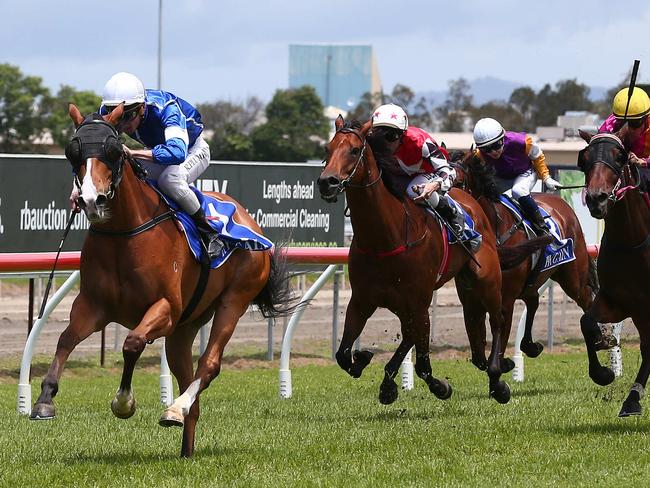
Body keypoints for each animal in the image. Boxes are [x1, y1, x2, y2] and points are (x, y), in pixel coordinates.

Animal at [30, 103, 294, 458]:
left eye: (114, 151)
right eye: (73, 151)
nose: (90, 200)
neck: (125, 234)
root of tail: (250, 221)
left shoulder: (165, 308)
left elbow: (132, 343)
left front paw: (124, 402)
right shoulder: (92, 307)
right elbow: (65, 340)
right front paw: (44, 400)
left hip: (233, 301)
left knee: (209, 364)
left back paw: (175, 407)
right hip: (186, 326)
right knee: (189, 381)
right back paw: (185, 444)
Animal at [316, 117, 508, 404]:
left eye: (353, 150)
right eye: (327, 149)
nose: (326, 182)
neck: (385, 238)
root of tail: (471, 201)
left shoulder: (419, 303)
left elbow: (424, 365)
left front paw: (441, 387)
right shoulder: (362, 300)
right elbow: (343, 356)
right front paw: (365, 361)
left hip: (486, 280)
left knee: (497, 321)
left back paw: (497, 379)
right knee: (410, 335)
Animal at [448, 152, 596, 362]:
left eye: (458, 181)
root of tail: (563, 206)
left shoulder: (506, 300)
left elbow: (499, 339)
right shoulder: (470, 299)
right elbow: (478, 347)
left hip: (573, 278)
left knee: (586, 299)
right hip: (534, 280)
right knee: (533, 300)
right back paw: (530, 345)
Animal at [576, 130, 648, 416]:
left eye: (619, 157)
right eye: (584, 159)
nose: (597, 198)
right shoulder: (619, 301)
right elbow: (586, 322)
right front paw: (603, 372)